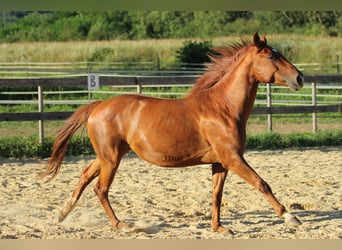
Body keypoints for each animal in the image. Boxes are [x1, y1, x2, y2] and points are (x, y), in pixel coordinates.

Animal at [38, 32, 304, 233]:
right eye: (271, 55)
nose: (300, 78)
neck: (223, 107)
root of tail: (97, 106)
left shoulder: (220, 162)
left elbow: (216, 195)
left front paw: (218, 228)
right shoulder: (233, 158)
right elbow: (262, 184)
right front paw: (290, 217)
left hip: (107, 156)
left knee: (84, 176)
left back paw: (62, 214)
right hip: (111, 159)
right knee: (100, 189)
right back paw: (122, 225)